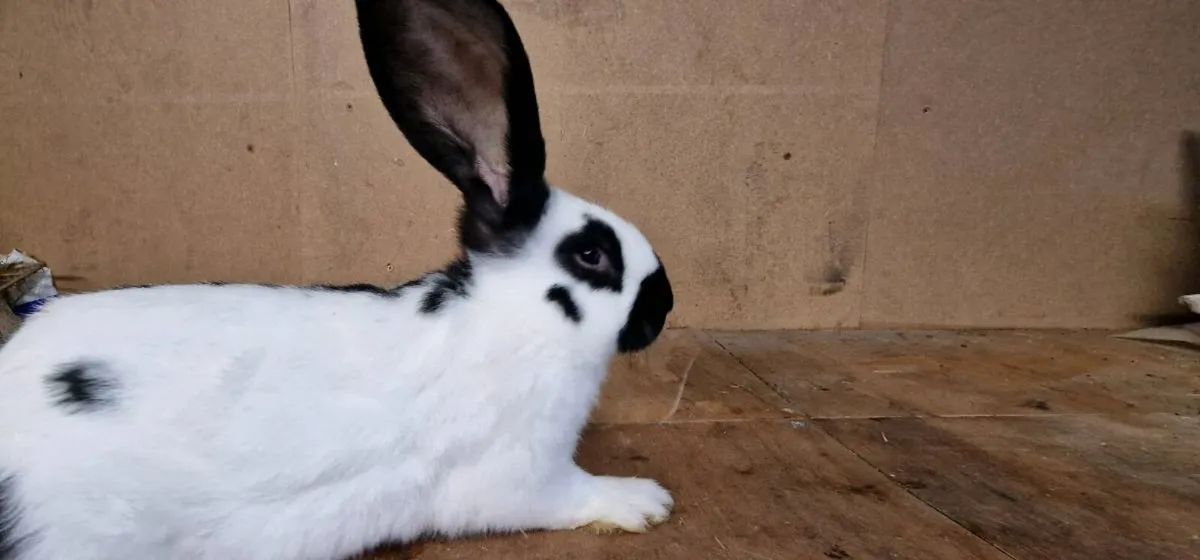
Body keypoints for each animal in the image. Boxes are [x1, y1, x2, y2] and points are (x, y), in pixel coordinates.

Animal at [0, 0, 675, 558]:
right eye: (591, 255)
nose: (666, 303)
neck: (511, 320)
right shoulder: (523, 474)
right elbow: (571, 495)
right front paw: (645, 500)